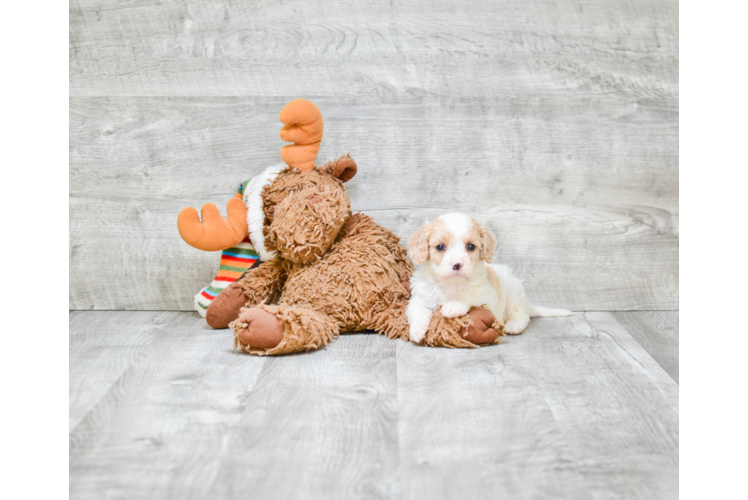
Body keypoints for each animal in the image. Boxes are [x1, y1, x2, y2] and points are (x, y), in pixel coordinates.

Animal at [406, 211, 568, 344]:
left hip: (514, 293)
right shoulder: (420, 296)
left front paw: (454, 304)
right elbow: (418, 310)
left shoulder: (487, 294)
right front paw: (417, 329)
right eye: (440, 247)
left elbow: (469, 292)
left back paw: (514, 325)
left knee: (522, 315)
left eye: (470, 247)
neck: (451, 284)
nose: (457, 265)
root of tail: (528, 305)